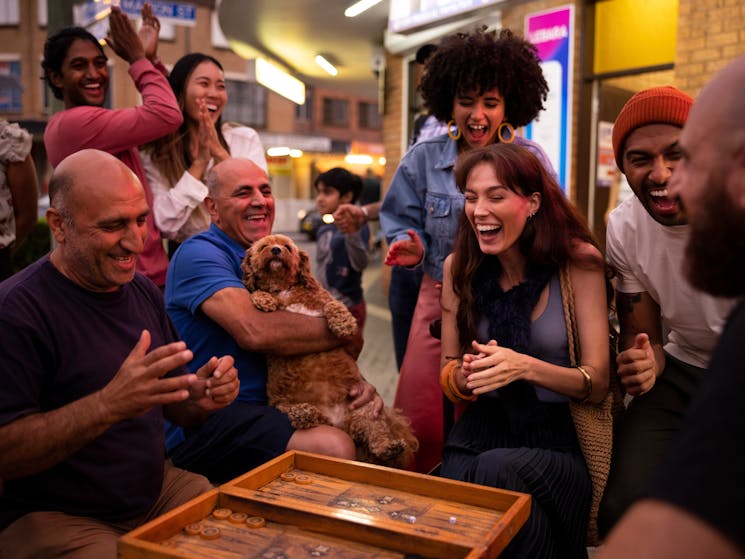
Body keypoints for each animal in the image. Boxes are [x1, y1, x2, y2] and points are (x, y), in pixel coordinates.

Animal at [244, 234, 418, 470]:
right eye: (264, 246)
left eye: (287, 247)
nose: (276, 250)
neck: (284, 289)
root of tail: (341, 423)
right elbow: (259, 292)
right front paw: (264, 298)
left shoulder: (324, 300)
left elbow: (334, 305)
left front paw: (344, 324)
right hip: (279, 402)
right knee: (293, 410)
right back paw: (304, 413)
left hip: (366, 408)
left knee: (378, 437)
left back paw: (389, 448)